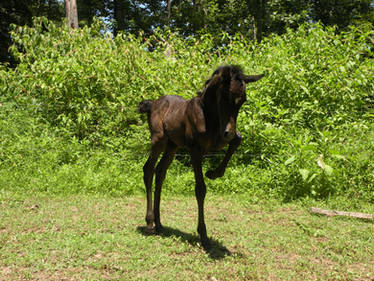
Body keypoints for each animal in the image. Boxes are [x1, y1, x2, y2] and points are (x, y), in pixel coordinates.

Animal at [137, 64, 262, 248]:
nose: (228, 132)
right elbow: (200, 189)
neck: (210, 117)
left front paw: (213, 173)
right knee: (148, 169)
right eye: (225, 96)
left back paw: (159, 224)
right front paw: (203, 235)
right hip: (158, 140)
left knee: (160, 173)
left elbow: (237, 139)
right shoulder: (195, 150)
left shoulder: (220, 140)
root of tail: (153, 103)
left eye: (243, 100)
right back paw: (149, 223)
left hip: (172, 146)